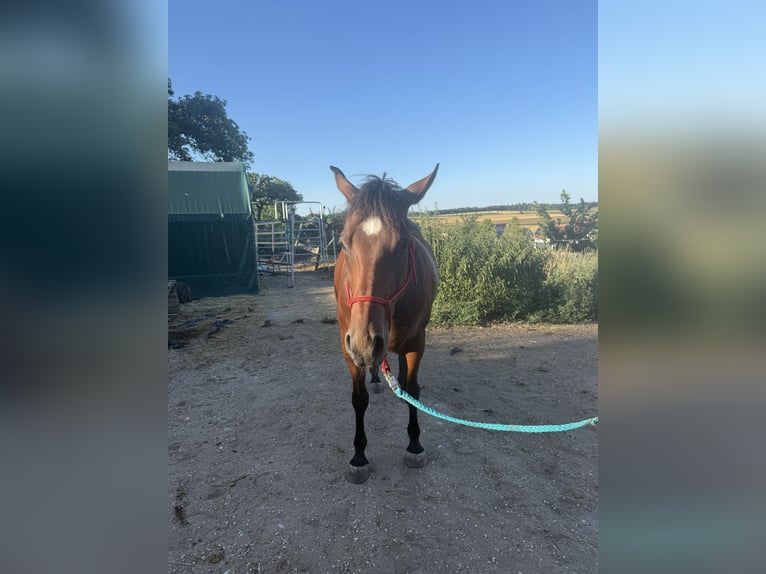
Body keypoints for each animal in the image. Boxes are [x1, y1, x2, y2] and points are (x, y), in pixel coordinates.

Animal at [330, 164, 439, 483]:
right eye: (343, 243)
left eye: (404, 244)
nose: (366, 342)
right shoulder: (348, 345)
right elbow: (359, 398)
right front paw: (359, 455)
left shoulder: (416, 342)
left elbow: (413, 391)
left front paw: (414, 445)